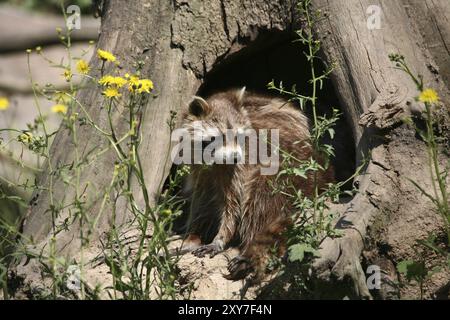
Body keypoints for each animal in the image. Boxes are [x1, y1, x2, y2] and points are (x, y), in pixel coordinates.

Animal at [178, 87, 332, 280]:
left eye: (238, 136)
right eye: (217, 138)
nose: (234, 157)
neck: (213, 161)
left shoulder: (241, 167)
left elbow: (233, 204)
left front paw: (221, 237)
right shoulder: (199, 168)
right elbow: (201, 200)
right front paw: (193, 234)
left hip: (288, 172)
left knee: (259, 202)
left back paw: (249, 249)